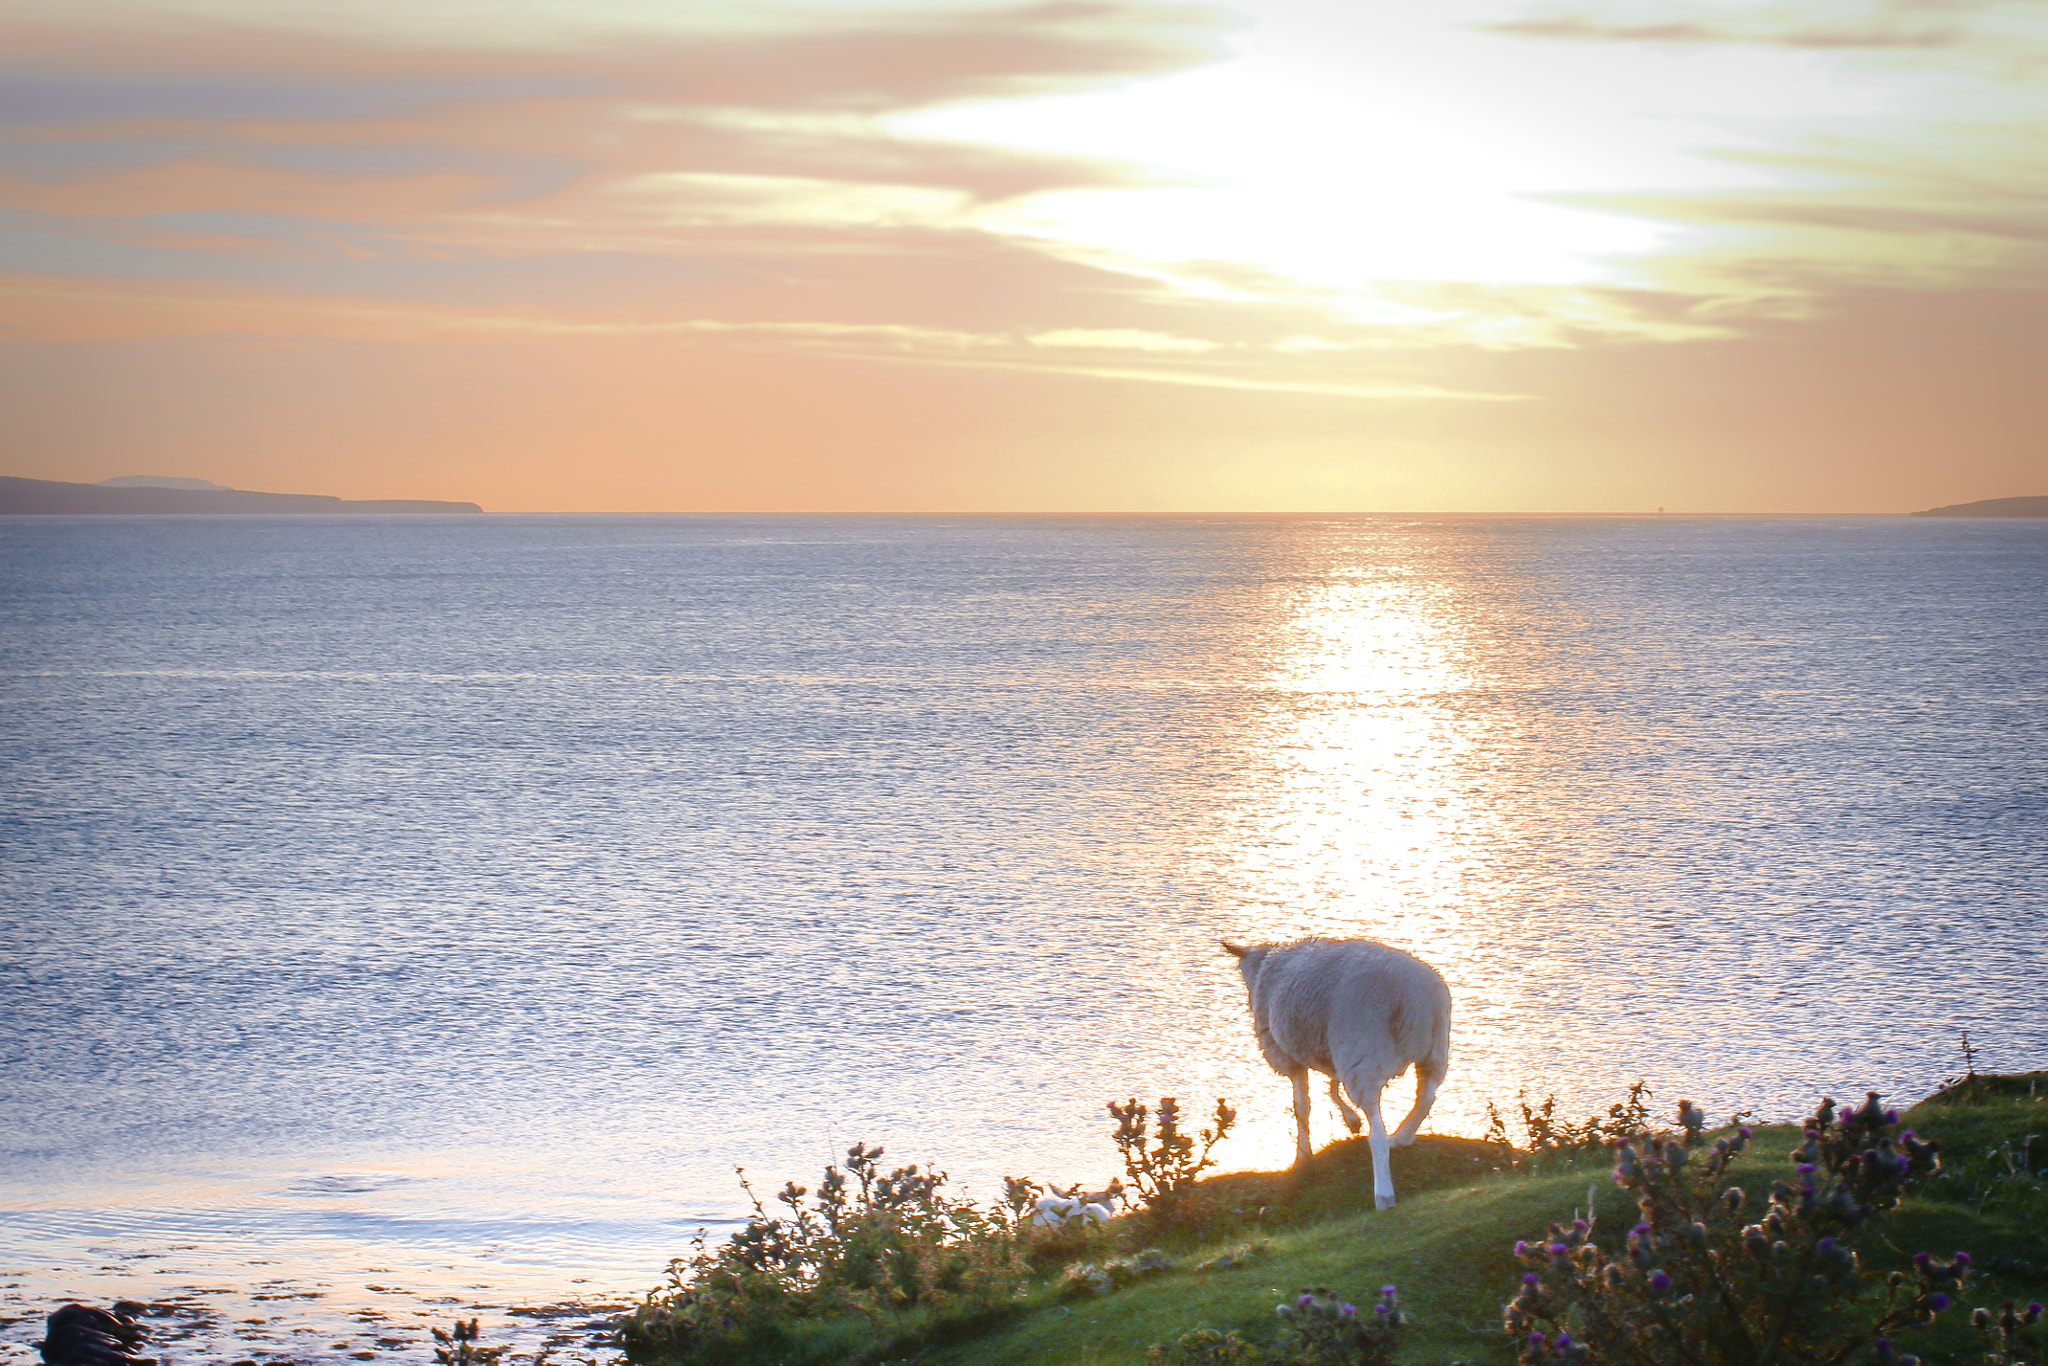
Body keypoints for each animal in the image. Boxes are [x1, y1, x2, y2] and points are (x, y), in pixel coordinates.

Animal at [1220, 933, 1449, 1212]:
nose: (1248, 1003)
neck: (1267, 966)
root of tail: (1410, 997)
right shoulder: (1329, 1048)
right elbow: (1331, 1086)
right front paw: (1351, 1120)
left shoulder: (1290, 1056)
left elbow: (1302, 1107)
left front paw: (1303, 1158)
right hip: (1433, 1051)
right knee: (1426, 1098)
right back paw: (1402, 1137)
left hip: (1361, 1055)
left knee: (1378, 1135)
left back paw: (1383, 1194)